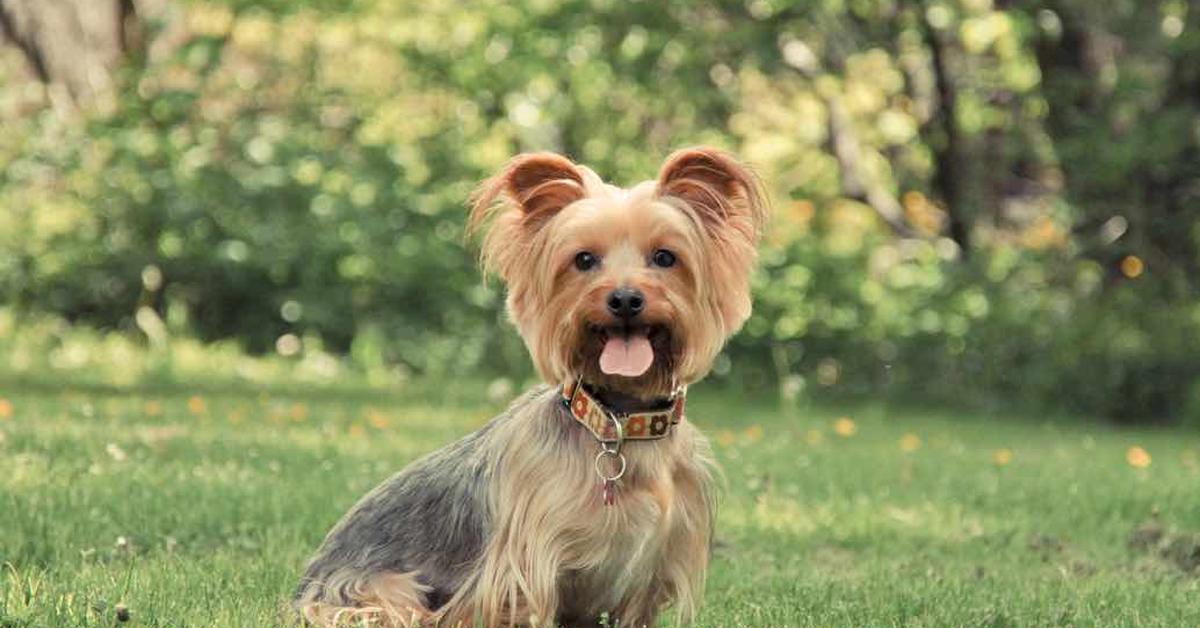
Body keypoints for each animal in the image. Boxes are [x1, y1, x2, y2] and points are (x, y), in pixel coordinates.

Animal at [298, 148, 768, 628]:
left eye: (665, 257)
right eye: (584, 260)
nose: (624, 299)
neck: (618, 421)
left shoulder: (653, 565)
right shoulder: (526, 563)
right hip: (379, 592)